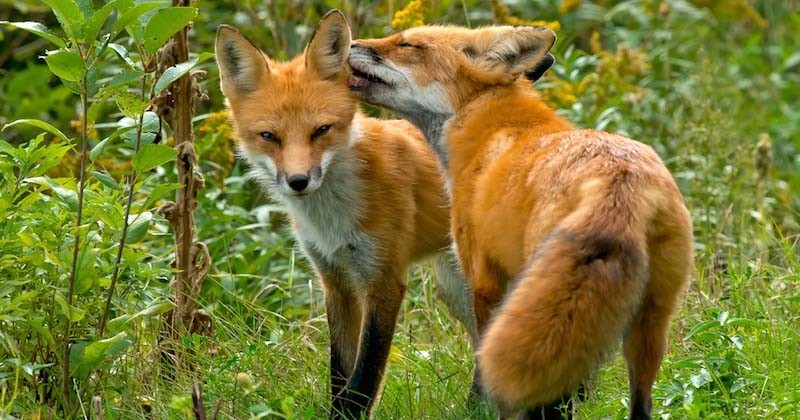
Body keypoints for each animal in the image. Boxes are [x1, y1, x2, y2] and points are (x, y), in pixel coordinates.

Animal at [350, 23, 692, 420]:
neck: (484, 123)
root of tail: (620, 181)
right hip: (650, 321)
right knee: (637, 399)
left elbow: (481, 364)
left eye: (408, 45)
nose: (350, 43)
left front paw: (477, 409)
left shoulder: (483, 277)